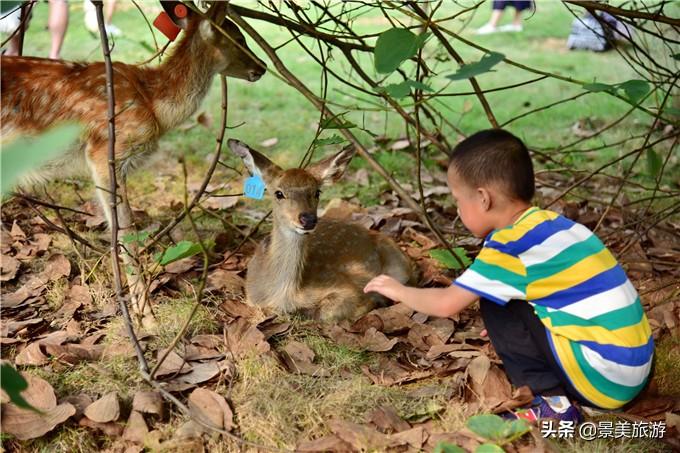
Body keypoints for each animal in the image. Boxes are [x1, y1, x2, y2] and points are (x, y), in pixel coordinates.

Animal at [3, 2, 268, 324]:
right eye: (238, 38)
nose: (262, 67)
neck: (154, 104)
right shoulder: (105, 150)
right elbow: (126, 231)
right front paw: (146, 317)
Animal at [228, 139, 414, 320]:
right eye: (278, 193)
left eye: (317, 192)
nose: (308, 219)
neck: (284, 295)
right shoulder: (252, 298)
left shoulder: (344, 285)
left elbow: (327, 312)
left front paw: (370, 301)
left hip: (399, 265)